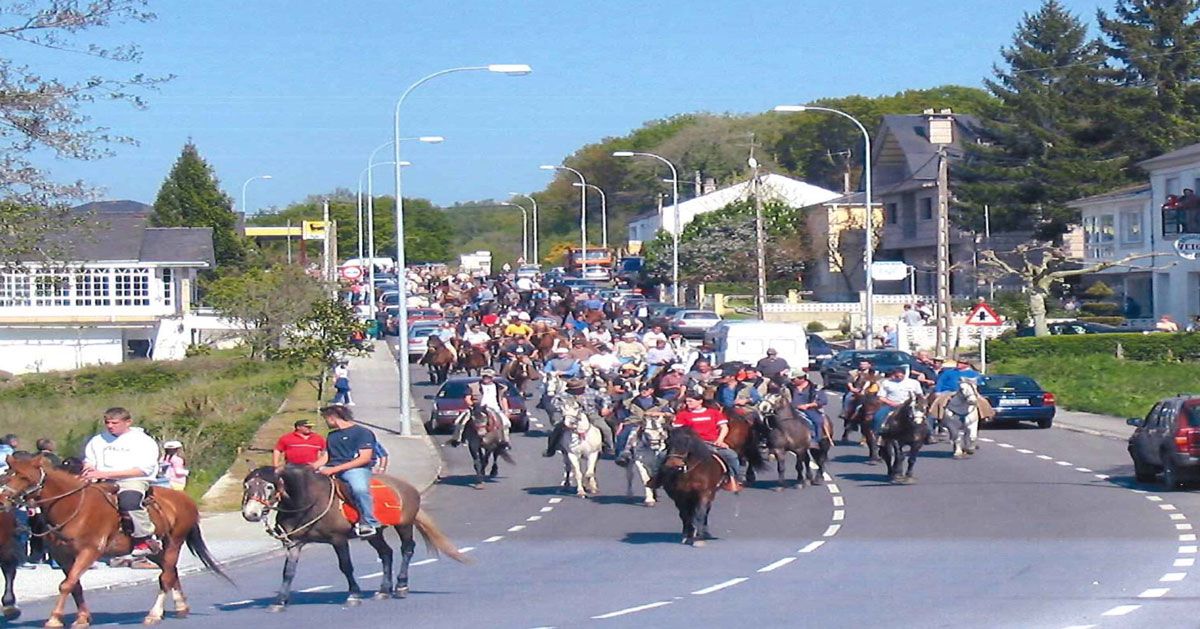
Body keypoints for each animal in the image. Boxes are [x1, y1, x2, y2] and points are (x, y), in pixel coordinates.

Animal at [0, 453, 229, 624]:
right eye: (7, 475)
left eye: (24, 477)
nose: (3, 501)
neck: (72, 507)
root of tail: (184, 499)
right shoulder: (63, 556)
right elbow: (73, 585)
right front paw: (83, 618)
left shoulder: (89, 551)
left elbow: (66, 585)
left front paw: (54, 619)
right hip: (156, 550)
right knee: (170, 572)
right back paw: (181, 607)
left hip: (174, 542)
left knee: (166, 577)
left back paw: (154, 614)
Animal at [240, 465, 468, 609]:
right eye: (247, 486)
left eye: (269, 486)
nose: (251, 513)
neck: (308, 502)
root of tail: (407, 487)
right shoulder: (294, 543)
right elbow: (288, 572)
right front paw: (279, 601)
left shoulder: (338, 540)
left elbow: (346, 567)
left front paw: (354, 595)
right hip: (375, 534)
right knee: (386, 553)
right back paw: (384, 590)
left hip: (404, 524)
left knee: (407, 549)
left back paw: (401, 586)